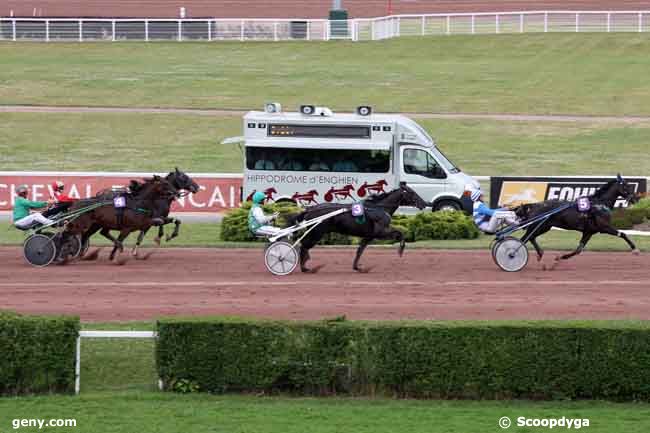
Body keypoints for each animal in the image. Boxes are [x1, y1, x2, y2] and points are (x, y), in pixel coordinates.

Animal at [282, 183, 426, 272]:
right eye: (412, 193)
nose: (424, 203)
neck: (378, 208)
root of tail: (310, 209)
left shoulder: (369, 235)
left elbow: (360, 250)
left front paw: (357, 267)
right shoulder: (380, 232)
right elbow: (400, 233)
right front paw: (400, 250)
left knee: (304, 245)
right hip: (317, 232)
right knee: (304, 245)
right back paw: (303, 267)